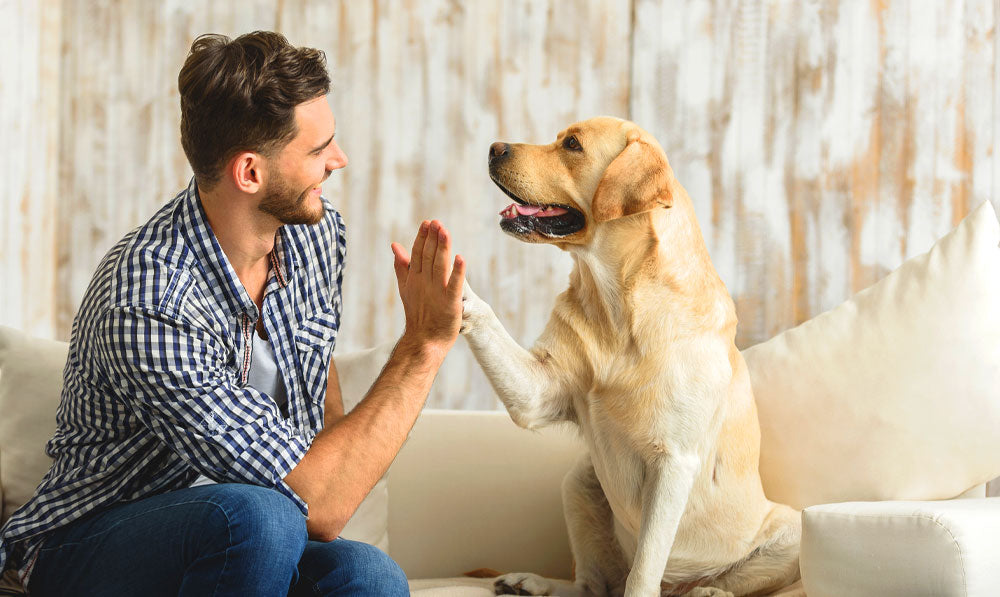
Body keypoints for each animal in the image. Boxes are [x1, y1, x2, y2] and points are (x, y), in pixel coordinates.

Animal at [464, 117, 800, 596]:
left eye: (572, 144)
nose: (493, 148)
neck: (618, 304)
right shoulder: (538, 393)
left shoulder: (673, 461)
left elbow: (643, 572)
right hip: (579, 481)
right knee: (591, 585)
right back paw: (531, 582)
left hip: (791, 530)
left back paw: (708, 589)